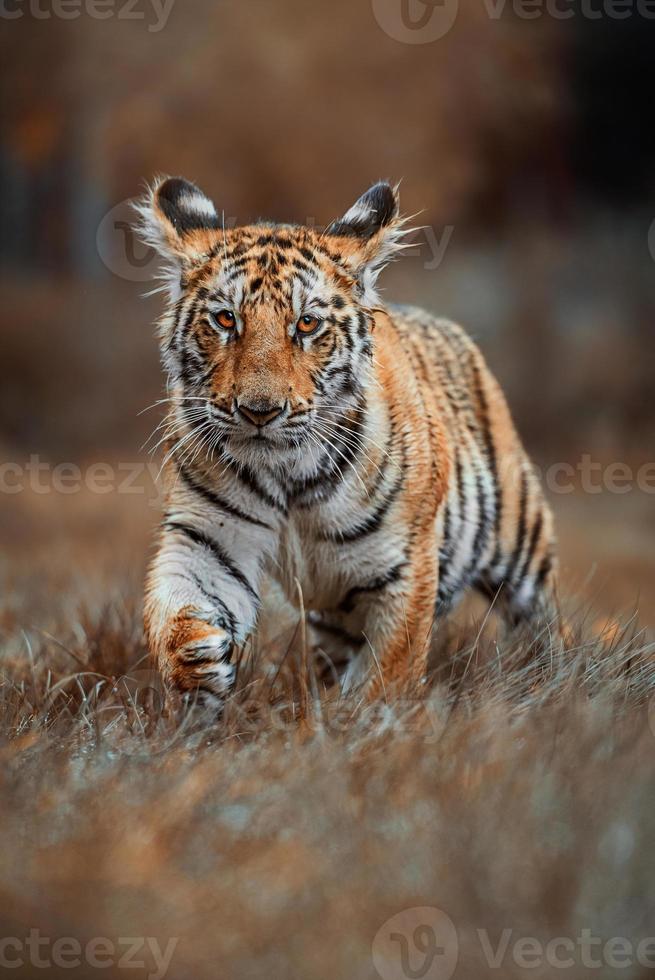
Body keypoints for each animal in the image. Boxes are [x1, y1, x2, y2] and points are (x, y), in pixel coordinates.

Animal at [137, 176, 560, 708]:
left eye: (306, 324)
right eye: (226, 319)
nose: (259, 411)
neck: (288, 475)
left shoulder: (404, 567)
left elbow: (388, 673)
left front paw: (362, 720)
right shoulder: (207, 537)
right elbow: (174, 602)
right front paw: (197, 664)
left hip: (519, 542)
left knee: (542, 620)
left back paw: (552, 680)